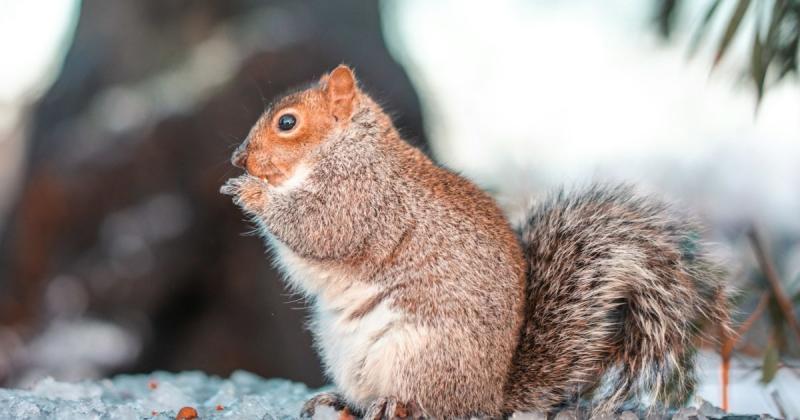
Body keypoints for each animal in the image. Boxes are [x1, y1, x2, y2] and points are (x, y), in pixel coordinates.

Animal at [220, 64, 732, 418]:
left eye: (287, 123)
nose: (238, 158)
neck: (347, 149)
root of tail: (492, 396)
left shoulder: (363, 200)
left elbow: (318, 227)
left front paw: (251, 192)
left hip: (421, 354)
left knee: (432, 407)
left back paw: (394, 405)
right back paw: (339, 401)